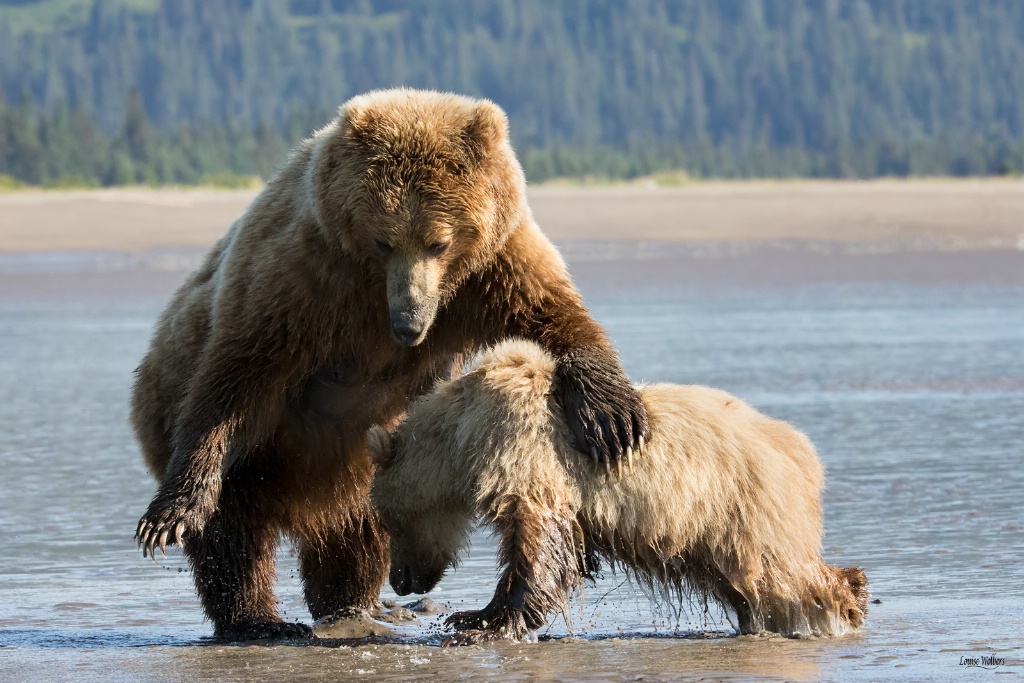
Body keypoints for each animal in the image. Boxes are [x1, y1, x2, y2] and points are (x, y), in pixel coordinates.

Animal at [130, 87, 647, 643]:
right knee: (233, 534)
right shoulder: (302, 277)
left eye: (440, 241)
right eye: (384, 239)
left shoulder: (493, 269)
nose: (408, 323)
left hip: (359, 468)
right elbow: (241, 372)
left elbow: (555, 316)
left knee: (358, 534)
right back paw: (258, 618)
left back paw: (356, 606)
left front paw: (612, 417)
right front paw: (170, 515)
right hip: (213, 431)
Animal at [366, 342, 864, 647]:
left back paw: (848, 598)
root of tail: (800, 450)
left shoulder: (524, 450)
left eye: (388, 521)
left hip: (742, 510)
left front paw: (484, 626)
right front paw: (473, 616)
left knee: (780, 573)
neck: (462, 435)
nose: (401, 580)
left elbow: (540, 540)